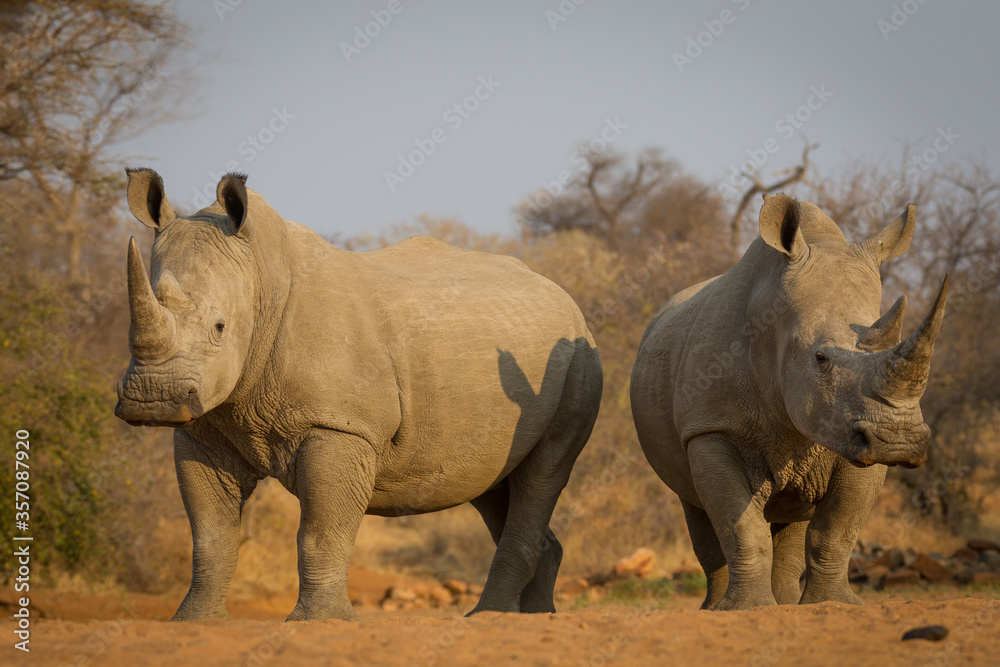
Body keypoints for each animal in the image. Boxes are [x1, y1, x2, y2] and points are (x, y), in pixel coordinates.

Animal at [114, 169, 603, 621]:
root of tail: (565, 297)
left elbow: (319, 532)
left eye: (219, 327)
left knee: (543, 472)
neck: (261, 279)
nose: (153, 398)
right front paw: (192, 621)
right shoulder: (204, 426)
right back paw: (534, 616)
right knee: (492, 480)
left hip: (577, 360)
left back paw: (490, 616)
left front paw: (318, 622)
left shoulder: (340, 426)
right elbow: (209, 534)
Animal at [630, 194, 947, 610]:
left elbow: (837, 530)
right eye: (821, 358)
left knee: (795, 517)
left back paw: (783, 603)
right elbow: (741, 528)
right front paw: (746, 610)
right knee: (696, 507)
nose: (899, 439)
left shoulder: (856, 434)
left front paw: (835, 606)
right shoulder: (711, 428)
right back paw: (715, 609)